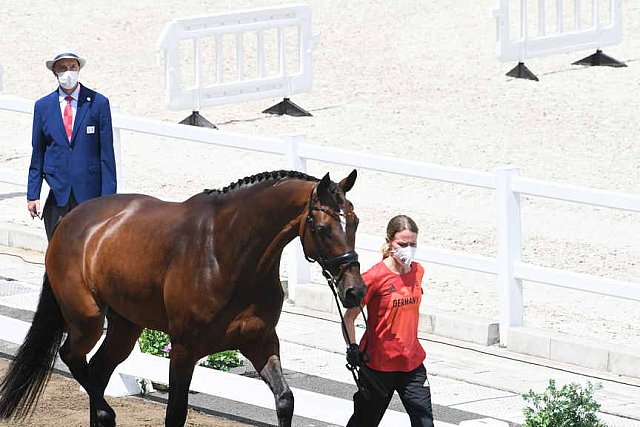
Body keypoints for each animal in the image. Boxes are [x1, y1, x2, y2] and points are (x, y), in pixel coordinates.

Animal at [0, 169, 364, 426]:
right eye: (322, 228)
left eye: (355, 221)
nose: (355, 290)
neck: (228, 253)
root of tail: (69, 222)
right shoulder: (185, 349)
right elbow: (175, 413)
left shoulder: (260, 341)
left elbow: (285, 400)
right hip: (87, 319)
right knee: (73, 357)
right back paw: (106, 414)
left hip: (125, 326)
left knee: (98, 371)